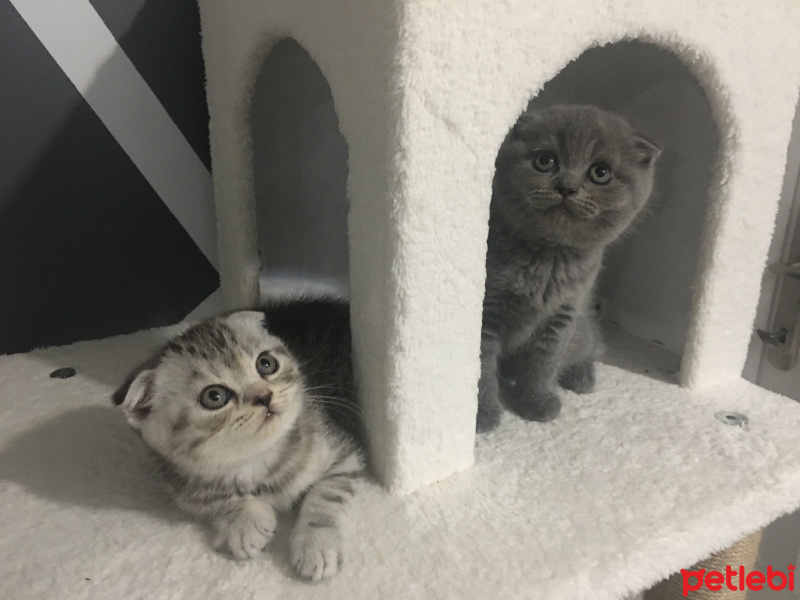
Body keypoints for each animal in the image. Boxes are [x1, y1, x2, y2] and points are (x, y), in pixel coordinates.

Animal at [112, 298, 362, 580]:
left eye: (266, 364)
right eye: (214, 396)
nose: (264, 395)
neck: (256, 461)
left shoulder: (342, 455)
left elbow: (325, 496)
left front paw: (316, 544)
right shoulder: (187, 491)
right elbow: (219, 501)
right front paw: (244, 523)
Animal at [478, 104, 660, 432]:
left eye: (600, 173)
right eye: (545, 161)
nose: (567, 187)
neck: (548, 257)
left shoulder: (564, 313)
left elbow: (544, 362)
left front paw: (536, 401)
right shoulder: (489, 309)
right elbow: (482, 367)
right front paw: (483, 414)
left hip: (581, 327)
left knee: (592, 347)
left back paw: (581, 377)